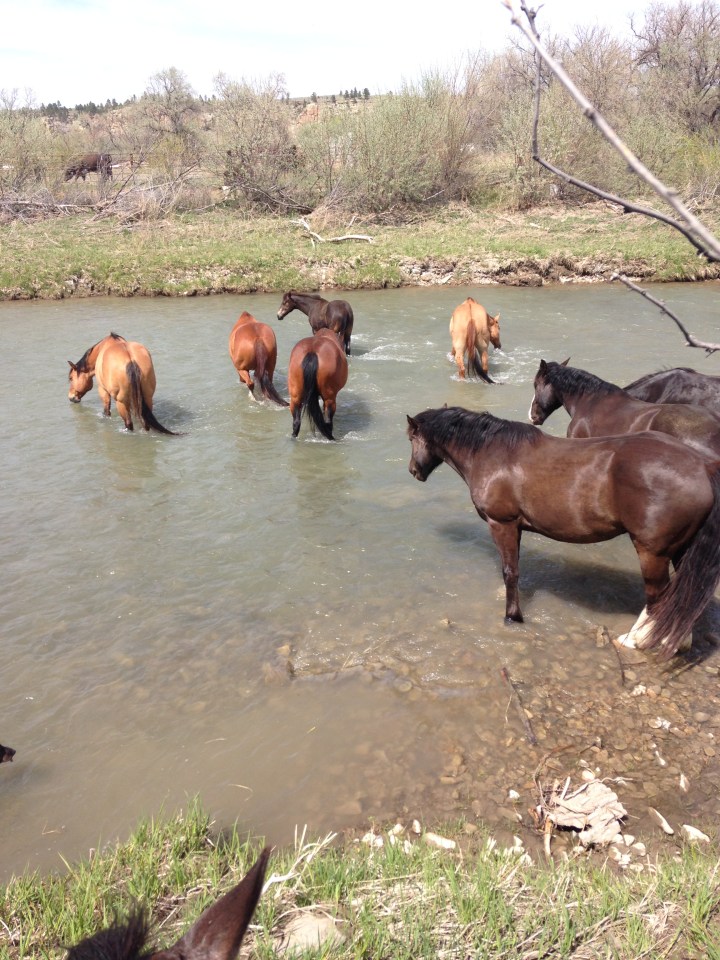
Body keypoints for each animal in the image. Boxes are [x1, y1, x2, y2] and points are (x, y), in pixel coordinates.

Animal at [407, 406, 720, 659]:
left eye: (411, 438)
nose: (413, 471)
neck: (491, 452)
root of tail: (700, 465)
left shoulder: (501, 524)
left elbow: (510, 573)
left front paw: (512, 617)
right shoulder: (516, 527)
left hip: (652, 553)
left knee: (659, 597)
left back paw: (635, 640)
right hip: (681, 550)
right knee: (682, 594)